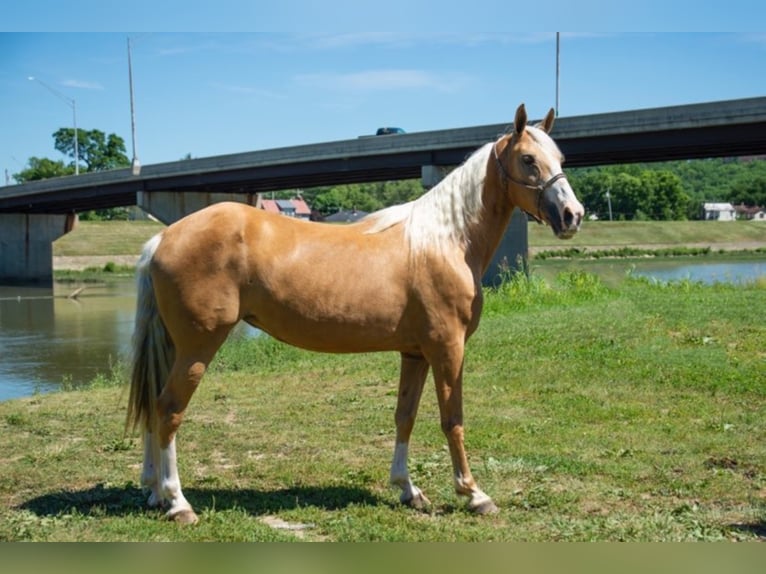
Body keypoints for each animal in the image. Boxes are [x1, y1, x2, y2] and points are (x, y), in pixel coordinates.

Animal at [126, 103, 584, 528]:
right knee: (168, 410)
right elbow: (452, 419)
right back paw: (178, 502)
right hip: (198, 346)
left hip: (176, 346)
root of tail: (163, 237)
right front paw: (474, 494)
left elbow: (405, 416)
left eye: (560, 157)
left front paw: (408, 489)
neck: (445, 240)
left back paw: (153, 493)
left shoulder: (415, 353)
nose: (572, 215)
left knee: (154, 407)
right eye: (529, 160)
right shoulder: (447, 349)